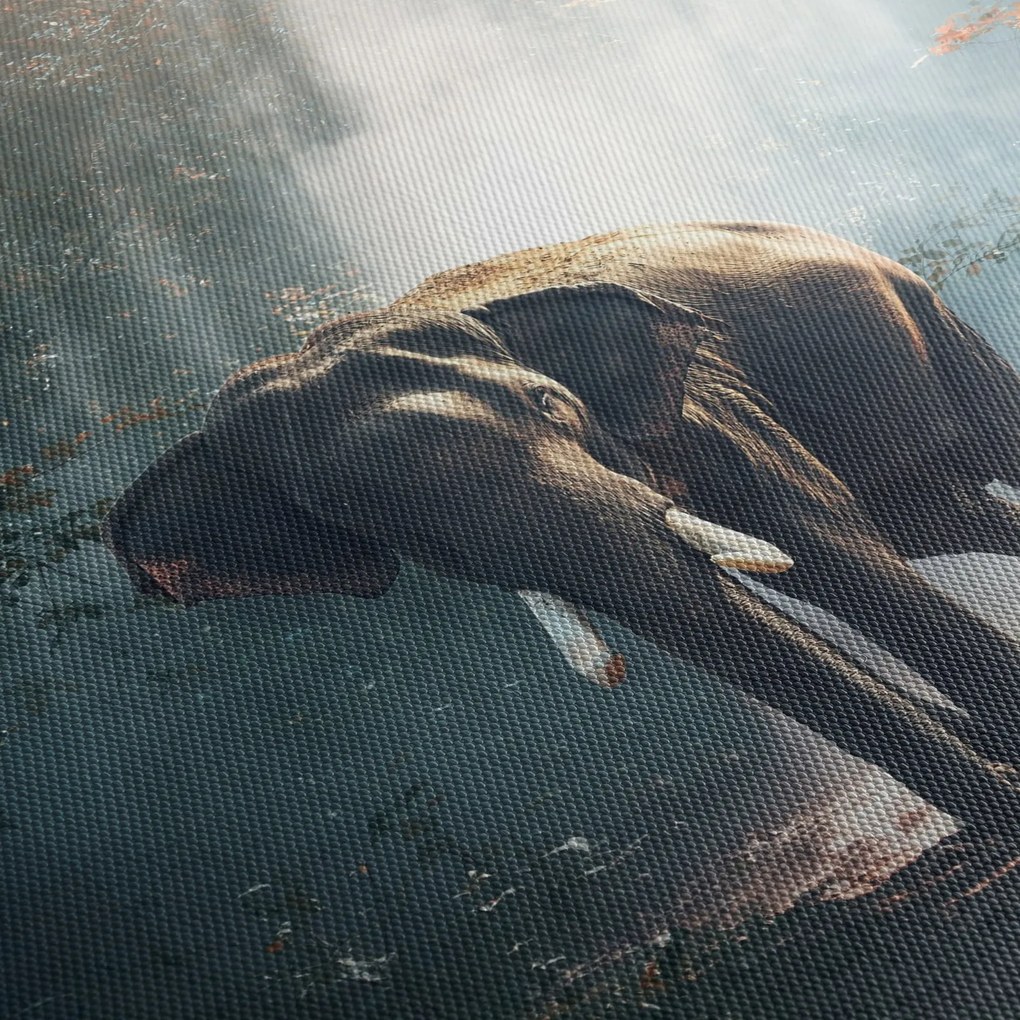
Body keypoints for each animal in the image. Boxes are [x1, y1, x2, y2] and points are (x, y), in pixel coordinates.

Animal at [101, 223, 1020, 838]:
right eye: (399, 532)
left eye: (549, 403)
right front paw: (995, 794)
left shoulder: (709, 405)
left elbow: (831, 549)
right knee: (937, 518)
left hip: (923, 313)